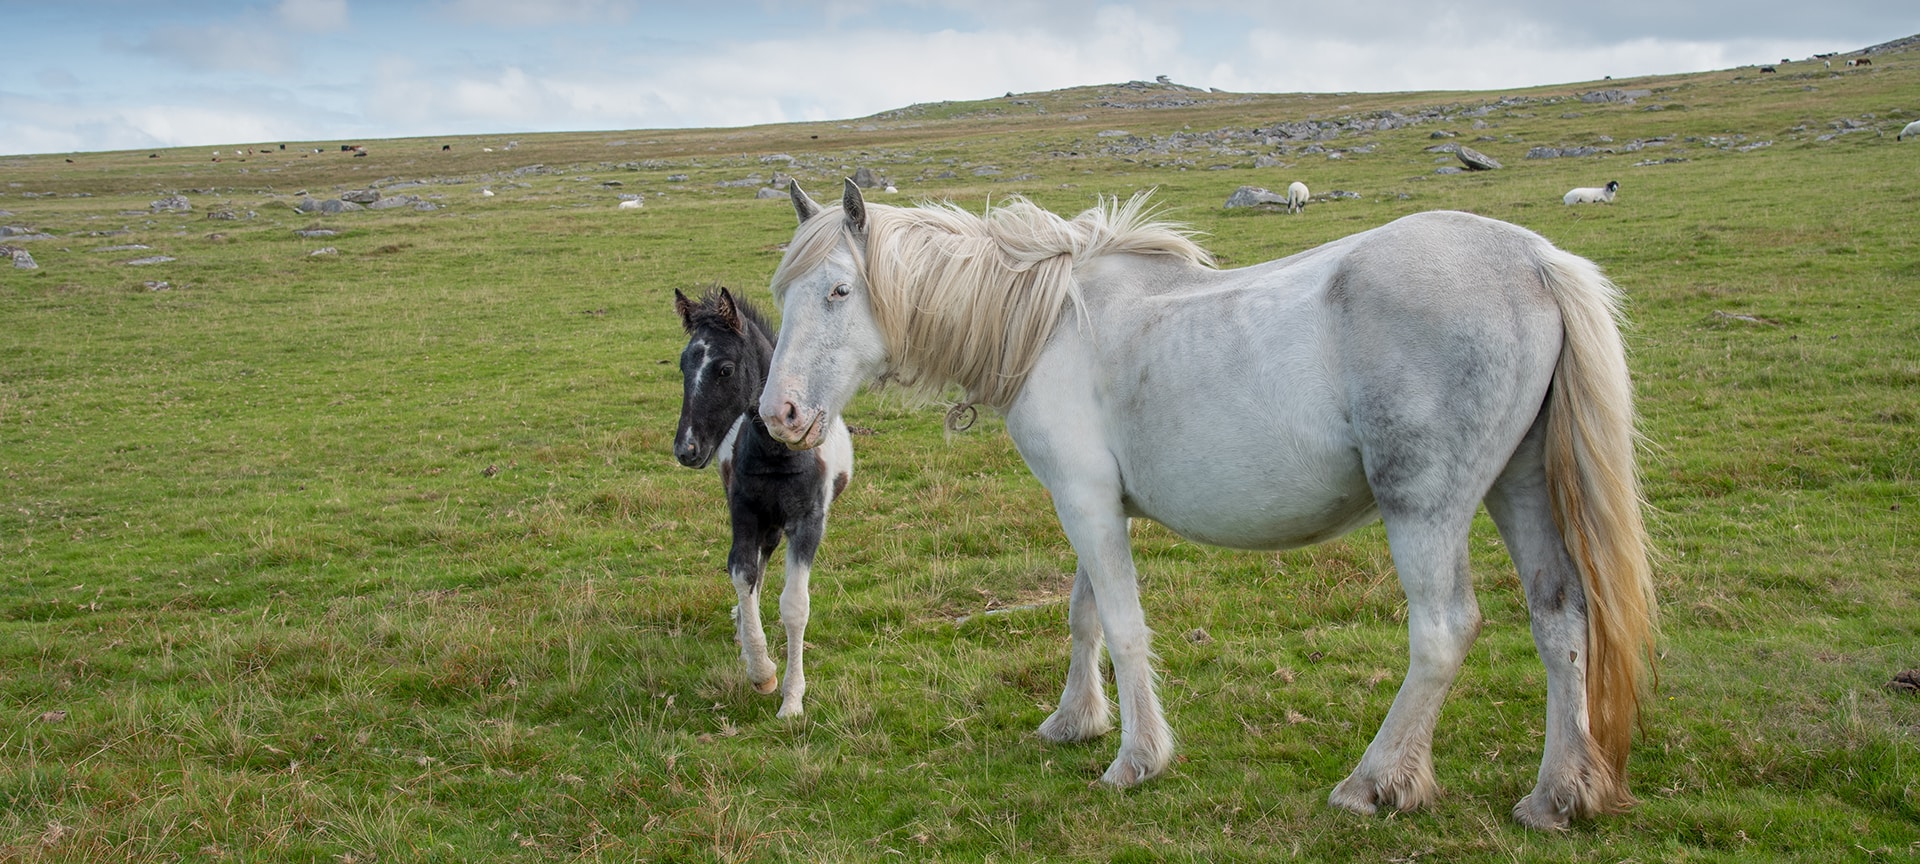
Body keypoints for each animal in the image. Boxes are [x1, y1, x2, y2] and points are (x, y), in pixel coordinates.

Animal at [756, 177, 1658, 829]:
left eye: (838, 291)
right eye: (784, 289)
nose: (780, 415)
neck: (1050, 324)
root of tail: (1535, 259)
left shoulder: (1085, 502)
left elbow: (1122, 625)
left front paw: (1135, 759)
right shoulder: (1096, 505)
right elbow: (1084, 615)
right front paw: (1074, 722)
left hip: (1426, 509)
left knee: (1443, 632)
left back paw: (1374, 782)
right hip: (1520, 488)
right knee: (1560, 619)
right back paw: (1558, 795)